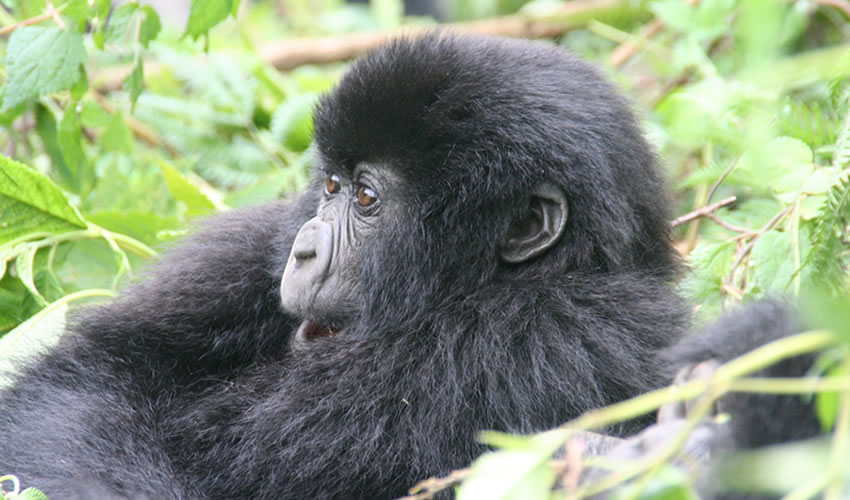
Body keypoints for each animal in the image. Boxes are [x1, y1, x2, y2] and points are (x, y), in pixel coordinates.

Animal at [0, 33, 816, 498]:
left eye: (367, 198)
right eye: (330, 185)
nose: (303, 248)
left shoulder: (564, 337)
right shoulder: (252, 241)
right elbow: (85, 382)